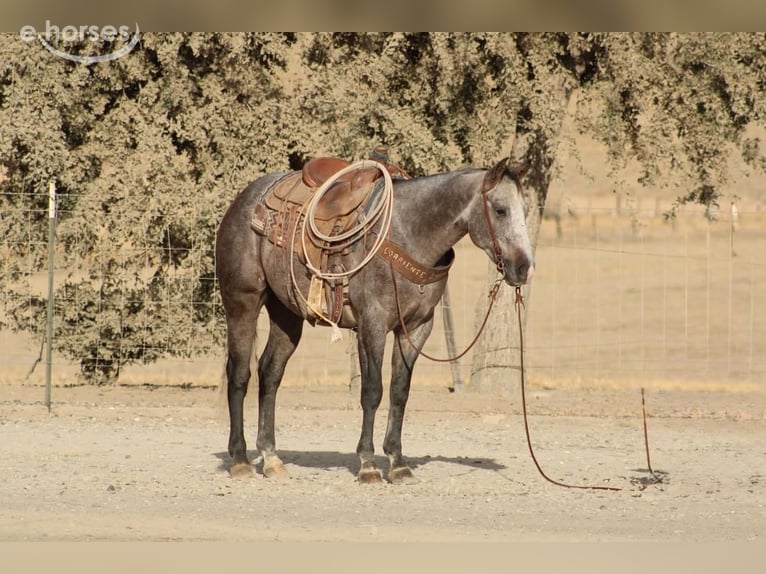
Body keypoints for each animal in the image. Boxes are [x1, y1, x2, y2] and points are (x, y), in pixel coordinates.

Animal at [215, 156, 535, 484]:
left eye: (526, 209)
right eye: (500, 209)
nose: (524, 268)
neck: (409, 234)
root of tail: (244, 199)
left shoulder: (417, 328)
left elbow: (399, 391)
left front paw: (398, 462)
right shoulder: (372, 325)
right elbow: (372, 391)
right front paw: (368, 465)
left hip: (286, 313)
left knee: (270, 372)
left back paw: (271, 457)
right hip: (242, 302)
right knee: (239, 374)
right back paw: (240, 459)